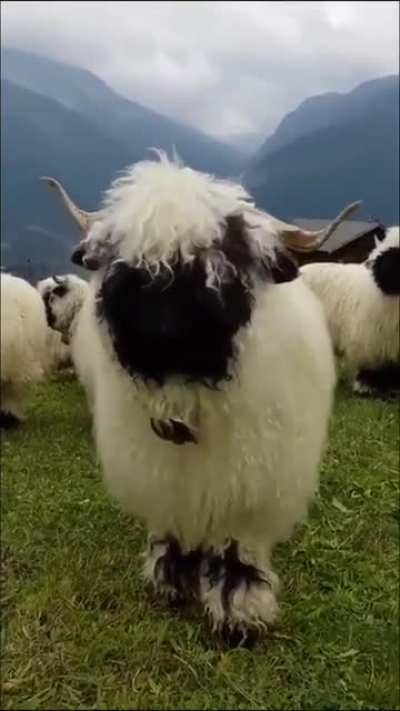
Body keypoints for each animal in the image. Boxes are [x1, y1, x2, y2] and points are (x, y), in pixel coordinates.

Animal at [42, 154, 364, 644]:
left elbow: (236, 540)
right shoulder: (160, 468)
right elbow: (172, 522)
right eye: (125, 259)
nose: (158, 330)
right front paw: (170, 576)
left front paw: (240, 609)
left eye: (220, 256)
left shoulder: (249, 473)